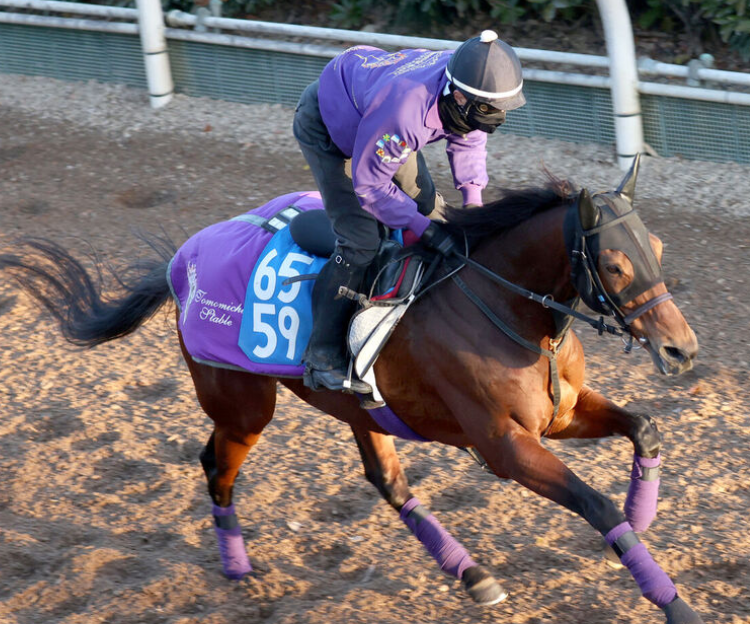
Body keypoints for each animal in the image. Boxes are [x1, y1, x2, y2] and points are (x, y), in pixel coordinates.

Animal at [0, 155, 703, 623]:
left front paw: (644, 513)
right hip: (244, 405)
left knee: (386, 482)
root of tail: (181, 262)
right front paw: (672, 602)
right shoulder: (504, 446)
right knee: (216, 466)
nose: (682, 349)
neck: (508, 308)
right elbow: (597, 506)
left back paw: (472, 574)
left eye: (657, 246)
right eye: (613, 264)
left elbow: (645, 427)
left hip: (362, 409)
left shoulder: (561, 414)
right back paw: (238, 568)